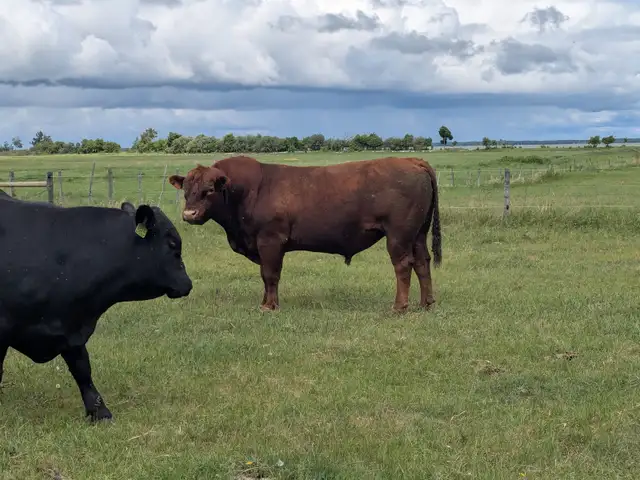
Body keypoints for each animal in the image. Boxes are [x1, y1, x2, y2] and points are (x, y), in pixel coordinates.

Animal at [169, 155, 441, 313]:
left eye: (209, 190)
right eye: (186, 190)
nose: (189, 214)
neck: (246, 192)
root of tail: (412, 161)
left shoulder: (270, 240)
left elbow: (270, 274)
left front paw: (270, 306)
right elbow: (264, 275)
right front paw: (265, 302)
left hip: (399, 235)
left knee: (403, 265)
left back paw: (399, 307)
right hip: (418, 234)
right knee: (422, 262)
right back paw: (425, 303)